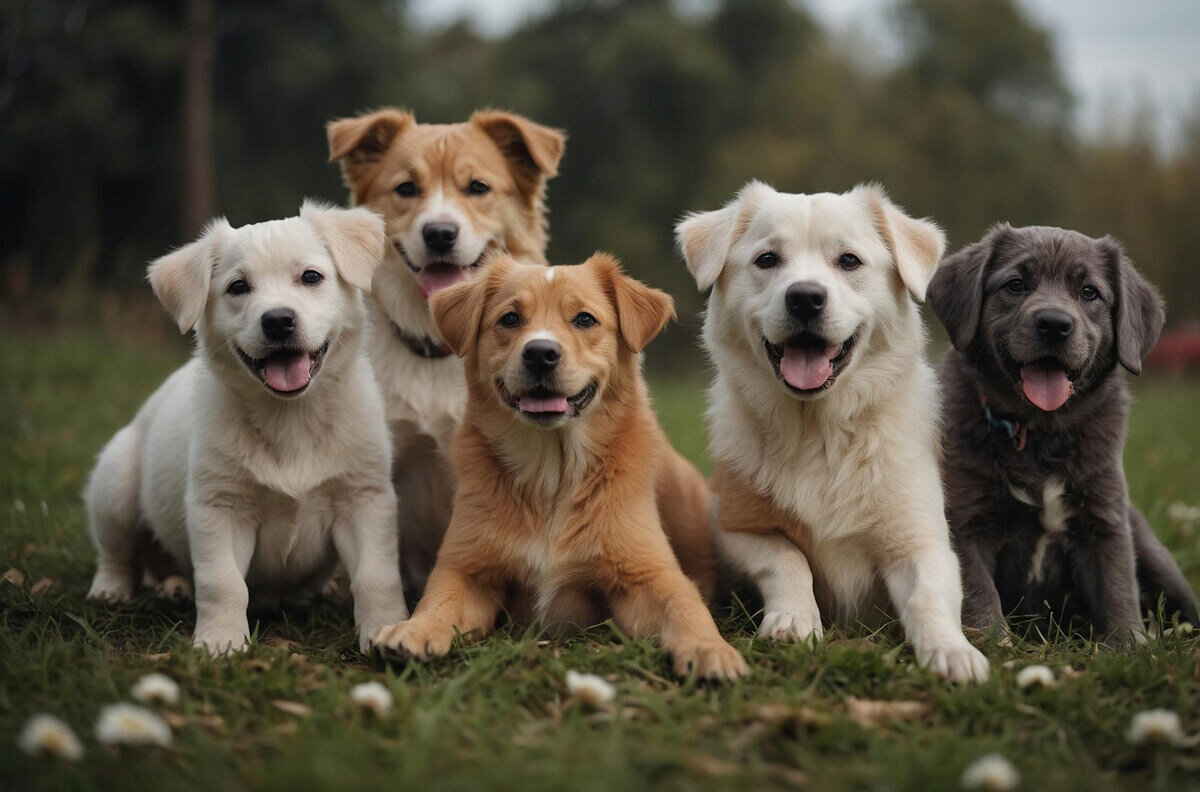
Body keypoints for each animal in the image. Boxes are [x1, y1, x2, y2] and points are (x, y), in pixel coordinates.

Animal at [85, 201, 408, 652]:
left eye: (311, 276)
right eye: (238, 287)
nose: (278, 320)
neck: (291, 416)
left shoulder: (364, 499)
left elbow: (376, 576)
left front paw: (385, 629)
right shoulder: (220, 507)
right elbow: (223, 583)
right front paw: (220, 642)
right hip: (114, 485)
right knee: (116, 553)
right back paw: (111, 590)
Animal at [681, 182, 988, 681]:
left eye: (849, 260)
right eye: (767, 259)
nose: (805, 297)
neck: (818, 432)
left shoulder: (922, 543)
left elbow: (927, 599)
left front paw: (951, 651)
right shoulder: (736, 528)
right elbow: (787, 561)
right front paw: (793, 620)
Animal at [926, 220, 1190, 638]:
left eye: (1089, 292)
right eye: (1016, 284)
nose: (1054, 323)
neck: (1040, 431)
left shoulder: (1105, 521)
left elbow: (1117, 588)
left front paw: (1130, 642)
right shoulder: (965, 518)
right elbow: (978, 591)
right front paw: (993, 642)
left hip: (1153, 551)